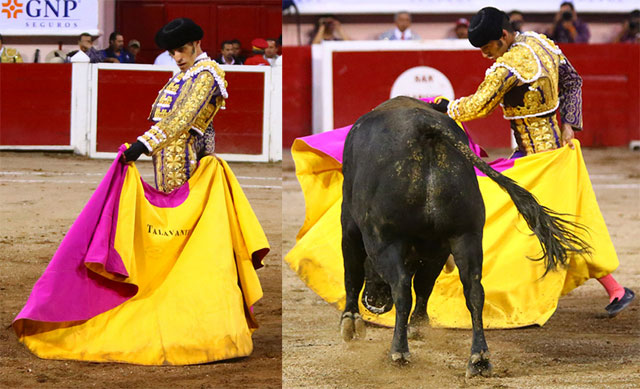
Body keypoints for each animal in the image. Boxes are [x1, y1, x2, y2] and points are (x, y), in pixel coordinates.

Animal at [340, 96, 592, 376]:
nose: (375, 302)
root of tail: (424, 127)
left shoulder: (351, 226)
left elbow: (353, 271)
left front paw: (350, 323)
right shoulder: (438, 249)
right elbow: (426, 284)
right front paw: (418, 325)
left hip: (387, 241)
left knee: (403, 287)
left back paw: (399, 352)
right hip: (466, 236)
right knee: (474, 291)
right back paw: (478, 358)